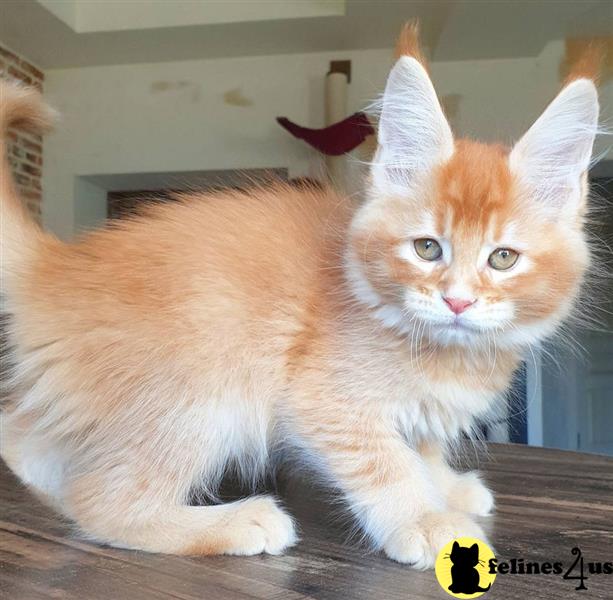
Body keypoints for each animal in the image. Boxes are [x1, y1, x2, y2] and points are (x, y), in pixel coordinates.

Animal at [0, 23, 600, 568]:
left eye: (503, 258)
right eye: (427, 248)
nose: (457, 302)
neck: (445, 352)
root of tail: (58, 266)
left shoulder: (422, 408)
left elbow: (422, 448)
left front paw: (445, 487)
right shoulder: (322, 399)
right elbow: (388, 461)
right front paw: (425, 518)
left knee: (24, 436)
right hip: (200, 389)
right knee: (102, 503)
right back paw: (236, 521)